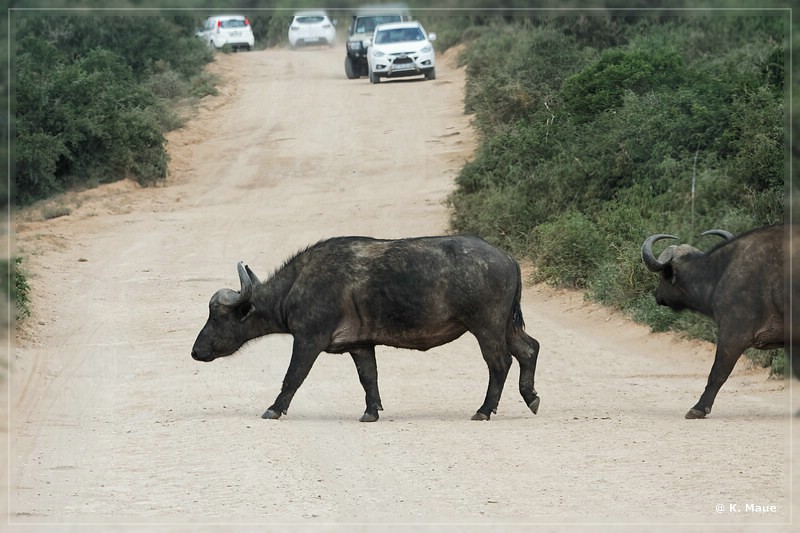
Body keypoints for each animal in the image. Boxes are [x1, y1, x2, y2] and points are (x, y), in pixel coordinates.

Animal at [191, 235, 540, 422]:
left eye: (217, 317)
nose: (196, 350)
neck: (295, 287)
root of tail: (508, 258)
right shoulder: (360, 346)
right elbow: (368, 377)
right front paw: (371, 411)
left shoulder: (308, 341)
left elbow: (293, 377)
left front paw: (274, 409)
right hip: (506, 325)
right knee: (529, 349)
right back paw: (531, 397)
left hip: (486, 326)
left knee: (500, 362)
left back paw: (484, 410)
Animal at [640, 222, 792, 418]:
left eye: (661, 277)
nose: (657, 295)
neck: (719, 274)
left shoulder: (732, 336)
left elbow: (717, 373)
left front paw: (698, 408)